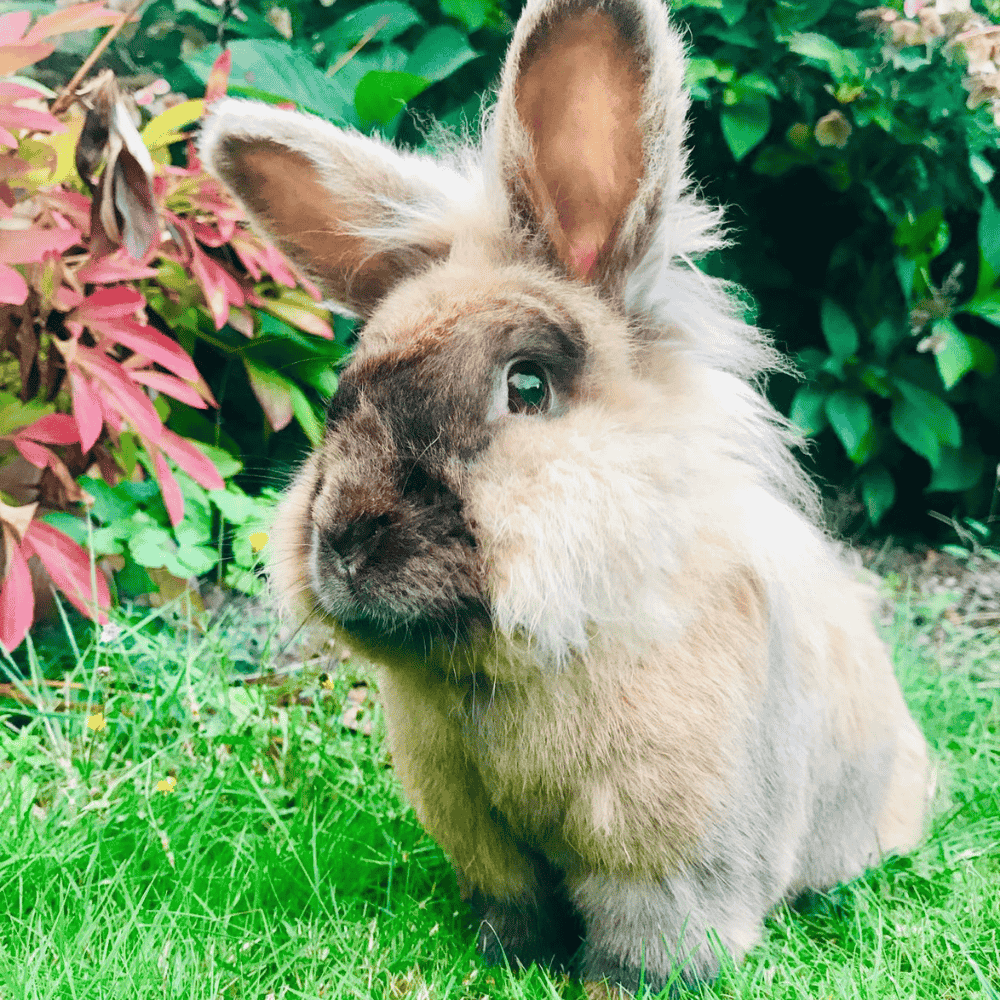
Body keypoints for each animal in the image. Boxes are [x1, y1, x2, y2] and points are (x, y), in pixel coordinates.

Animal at [200, 0, 932, 991]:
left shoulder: (668, 859)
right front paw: (505, 958)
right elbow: (513, 909)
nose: (346, 540)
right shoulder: (484, 840)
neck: (515, 667)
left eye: (527, 386)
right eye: (346, 389)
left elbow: (654, 933)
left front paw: (614, 984)